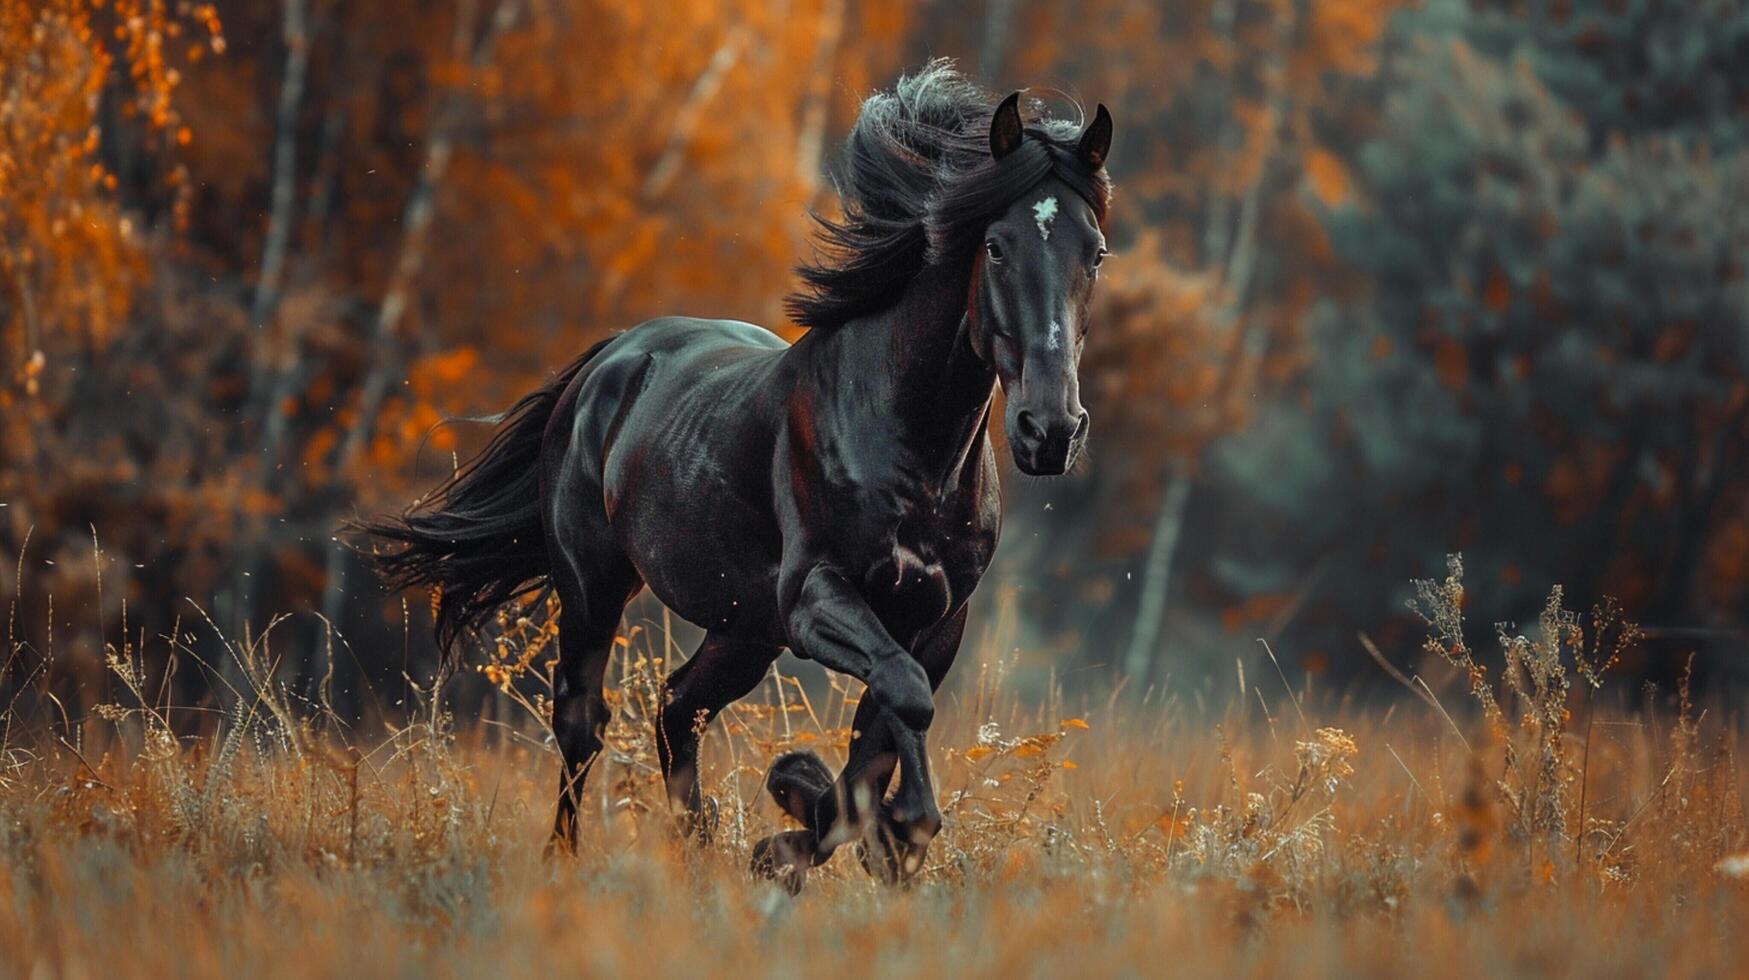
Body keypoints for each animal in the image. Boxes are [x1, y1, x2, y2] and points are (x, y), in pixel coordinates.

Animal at [360, 61, 1112, 889]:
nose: (1050, 430)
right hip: (596, 585)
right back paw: (567, 860)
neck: (913, 447)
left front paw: (816, 832)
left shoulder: (936, 619)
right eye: (998, 247)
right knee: (583, 719)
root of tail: (611, 358)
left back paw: (699, 844)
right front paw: (844, 817)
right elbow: (903, 705)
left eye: (1095, 253)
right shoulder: (814, 598)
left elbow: (881, 728)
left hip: (743, 627)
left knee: (676, 707)